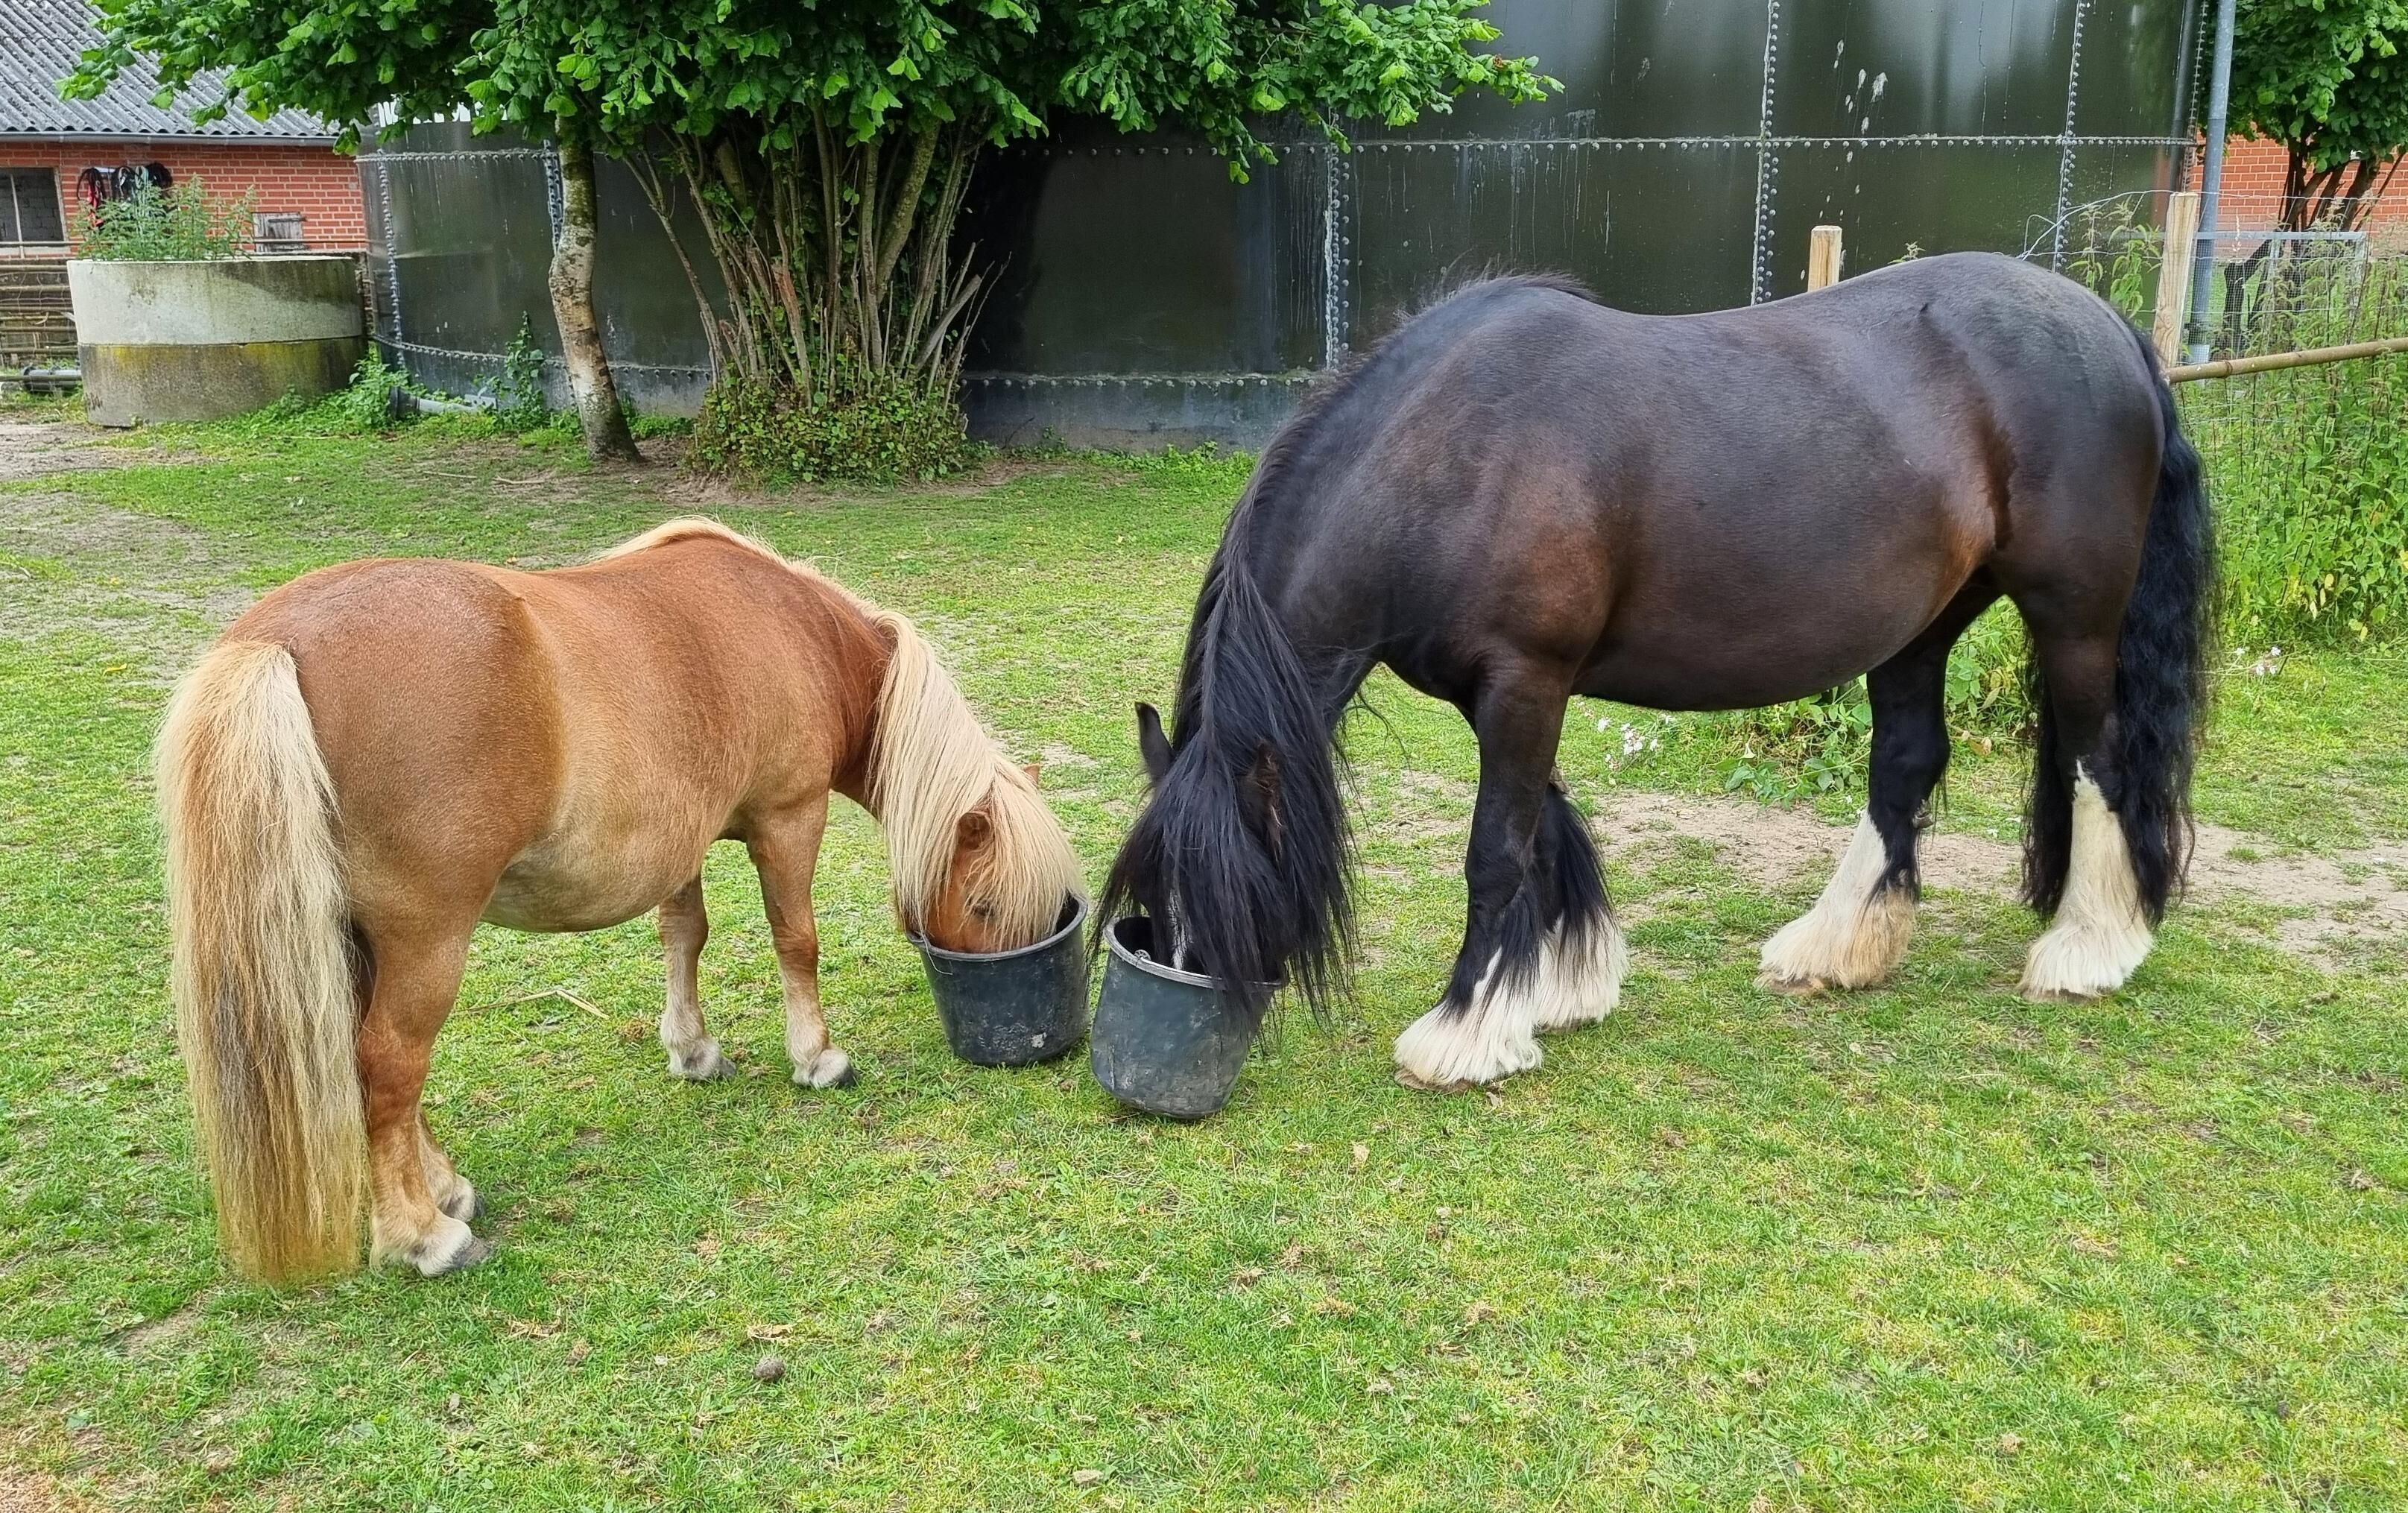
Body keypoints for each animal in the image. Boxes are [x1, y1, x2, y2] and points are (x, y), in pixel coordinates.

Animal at [156, 519, 1082, 1281]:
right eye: (987, 907)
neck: (797, 628)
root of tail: (275, 643)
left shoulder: (683, 837)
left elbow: (685, 935)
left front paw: (694, 1049)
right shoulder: (789, 817)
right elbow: (796, 940)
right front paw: (817, 1056)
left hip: (356, 938)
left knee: (371, 1066)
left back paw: (446, 1187)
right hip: (425, 939)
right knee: (388, 1062)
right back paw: (425, 1234)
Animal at [1103, 252, 2213, 1092]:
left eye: (1232, 895)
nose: (1182, 1016)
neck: (1446, 454)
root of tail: (2111, 330)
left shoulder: (1525, 678)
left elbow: (1494, 850)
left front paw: (1463, 1029)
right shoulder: (1499, 690)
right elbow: (1547, 827)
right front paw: (1559, 987)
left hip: (2073, 619)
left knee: (2100, 763)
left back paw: (2088, 950)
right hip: (1923, 627)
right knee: (1905, 761)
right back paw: (1836, 947)